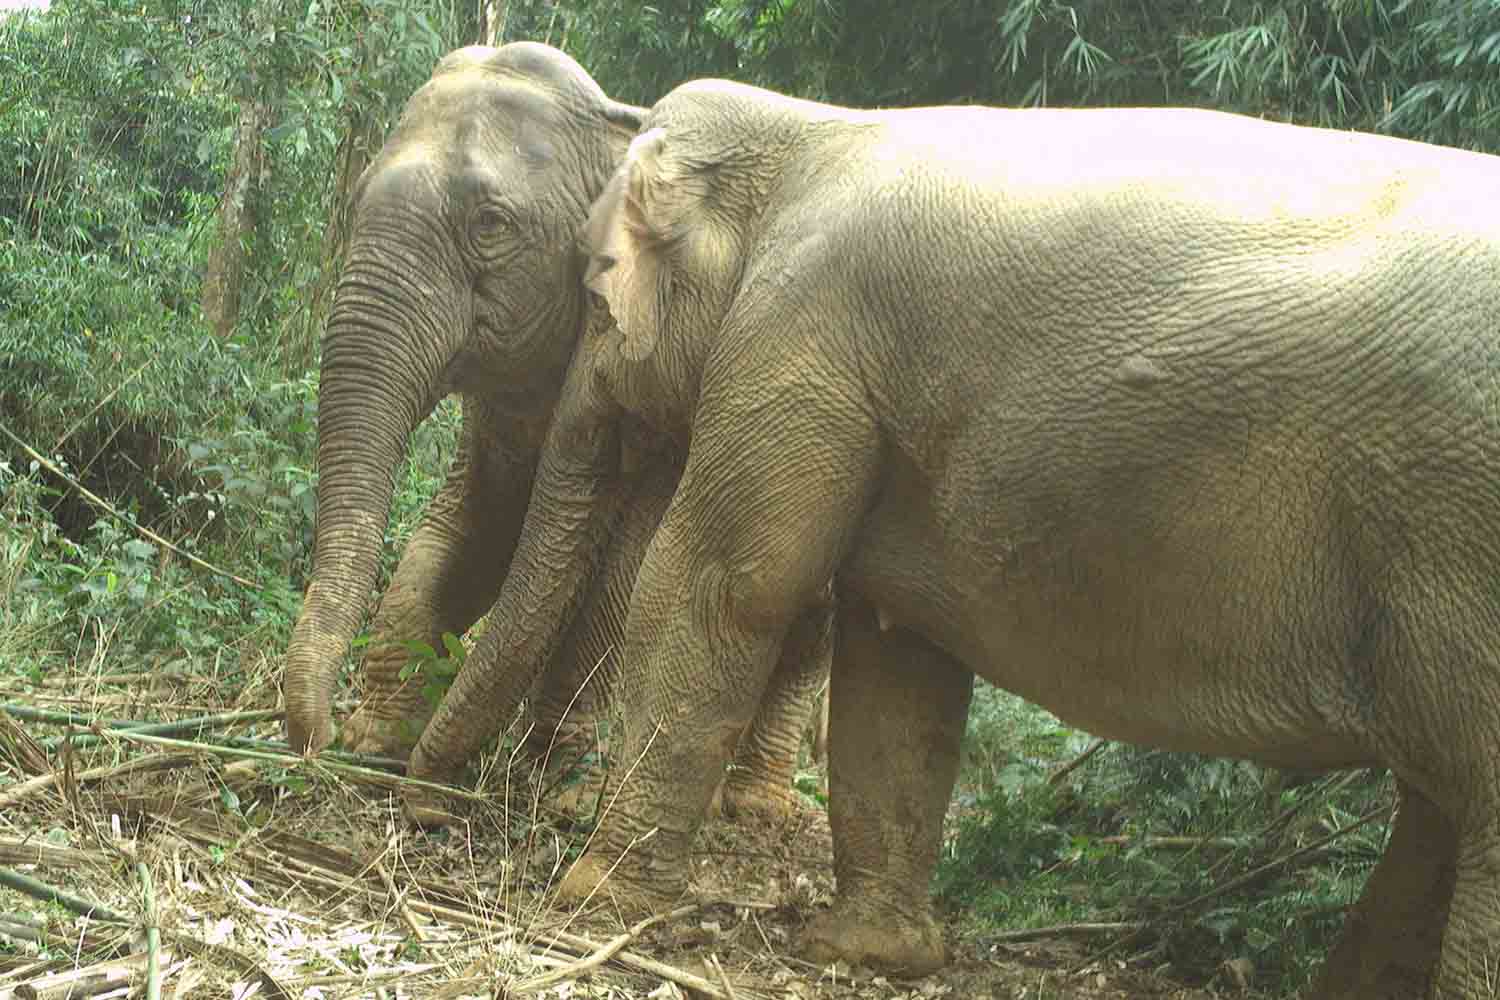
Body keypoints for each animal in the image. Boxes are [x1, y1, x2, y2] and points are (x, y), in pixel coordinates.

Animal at [280, 44, 827, 822]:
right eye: (355, 198)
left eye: (488, 223)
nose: (313, 740)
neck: (619, 116)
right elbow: (473, 527)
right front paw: (376, 736)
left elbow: (625, 568)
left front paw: (560, 791)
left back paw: (754, 809)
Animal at [404, 78, 1500, 998]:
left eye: (596, 294)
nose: (420, 802)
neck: (811, 128)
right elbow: (900, 655)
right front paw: (866, 953)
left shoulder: (801, 338)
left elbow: (722, 581)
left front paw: (593, 898)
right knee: (1439, 807)